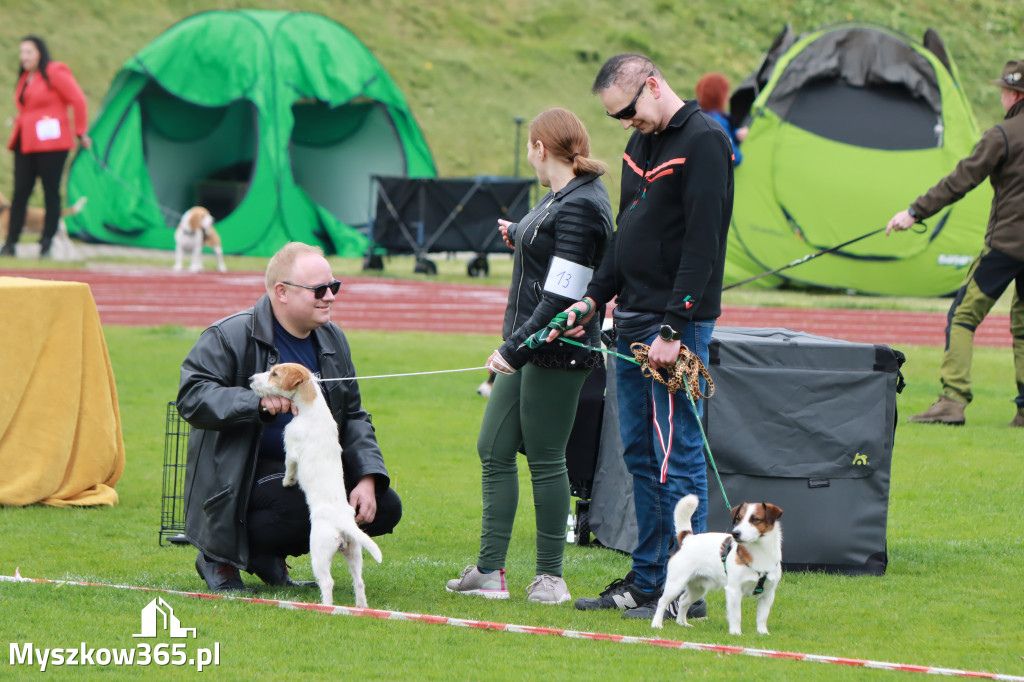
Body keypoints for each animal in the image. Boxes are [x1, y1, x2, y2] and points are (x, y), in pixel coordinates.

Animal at [248, 360, 385, 606]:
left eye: (275, 374)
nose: (250, 379)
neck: (312, 409)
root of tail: (343, 523)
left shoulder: (291, 449)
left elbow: (289, 466)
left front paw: (287, 482)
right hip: (355, 552)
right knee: (359, 582)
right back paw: (361, 608)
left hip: (319, 553)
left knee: (328, 582)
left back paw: (326, 606)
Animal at [651, 493, 786, 630]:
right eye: (738, 519)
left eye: (755, 519)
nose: (735, 533)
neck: (759, 553)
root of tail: (688, 538)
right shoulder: (734, 591)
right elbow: (736, 615)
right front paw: (736, 632)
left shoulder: (768, 594)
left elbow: (762, 617)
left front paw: (762, 632)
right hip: (676, 583)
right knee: (662, 602)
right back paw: (656, 624)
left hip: (698, 588)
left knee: (683, 601)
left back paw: (682, 623)